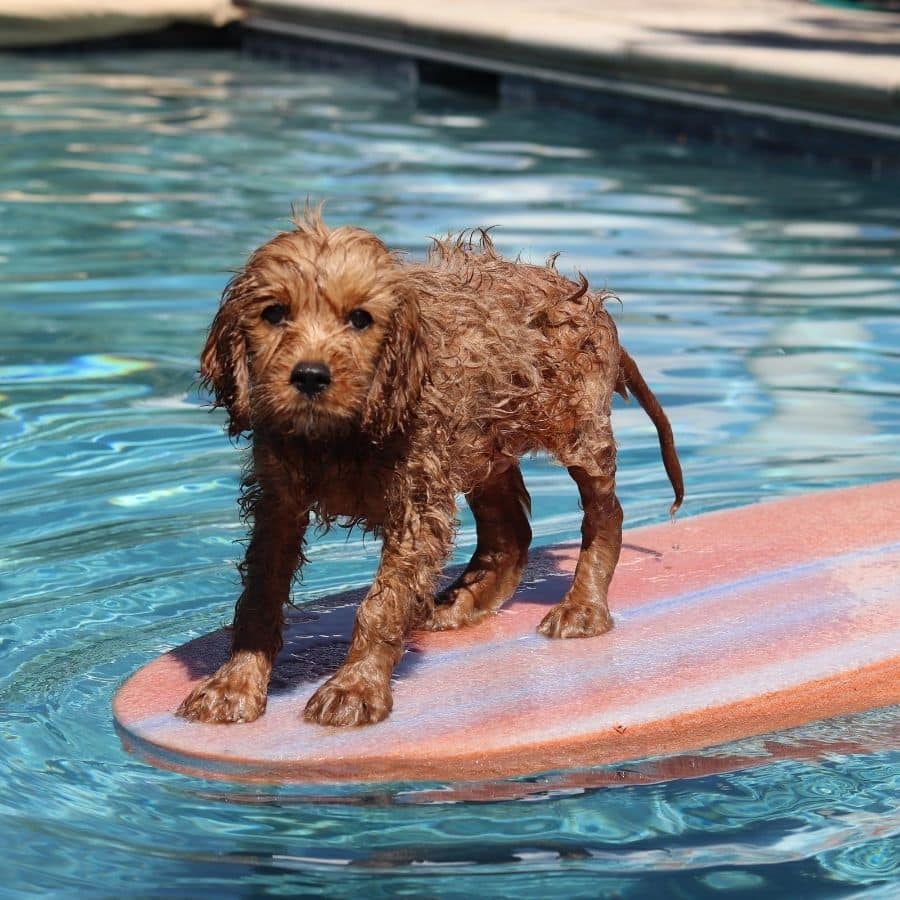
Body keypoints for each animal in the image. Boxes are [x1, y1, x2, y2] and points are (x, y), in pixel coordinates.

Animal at [174, 213, 684, 732]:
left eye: (360, 319)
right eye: (274, 314)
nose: (310, 376)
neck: (340, 434)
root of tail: (583, 297)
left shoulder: (416, 502)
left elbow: (381, 605)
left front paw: (355, 687)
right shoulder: (278, 503)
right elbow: (260, 595)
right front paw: (235, 682)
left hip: (577, 430)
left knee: (604, 514)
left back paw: (583, 607)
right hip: (481, 442)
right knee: (509, 531)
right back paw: (465, 602)